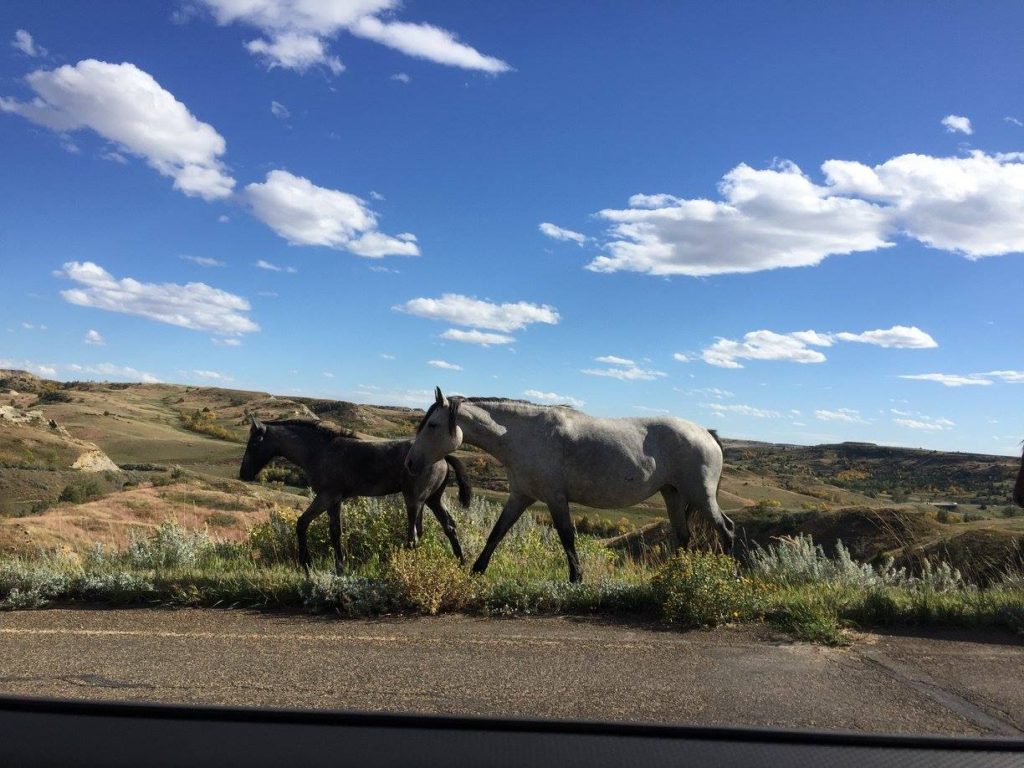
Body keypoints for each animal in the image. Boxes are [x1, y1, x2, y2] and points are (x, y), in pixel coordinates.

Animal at [239, 417, 471, 575]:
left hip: (414, 500)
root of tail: (444, 457)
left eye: (254, 443)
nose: (243, 474)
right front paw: (339, 568)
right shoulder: (335, 500)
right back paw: (462, 564)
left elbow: (302, 523)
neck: (319, 451)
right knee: (449, 527)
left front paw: (306, 564)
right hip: (432, 500)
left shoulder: (325, 496)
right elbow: (335, 532)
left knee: (413, 536)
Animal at [405, 388, 731, 583]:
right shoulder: (520, 496)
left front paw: (576, 579)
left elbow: (566, 538)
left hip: (700, 495)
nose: (409, 463)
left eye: (432, 425)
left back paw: (732, 575)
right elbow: (497, 533)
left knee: (725, 529)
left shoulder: (555, 498)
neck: (524, 435)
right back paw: (674, 576)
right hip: (672, 494)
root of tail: (707, 433)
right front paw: (476, 570)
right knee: (683, 536)